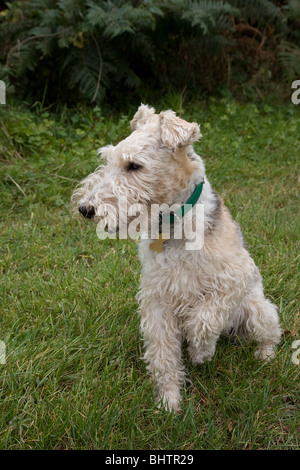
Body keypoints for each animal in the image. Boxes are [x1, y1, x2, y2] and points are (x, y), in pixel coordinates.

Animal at [72, 104, 282, 410]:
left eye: (134, 165)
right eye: (108, 159)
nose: (85, 208)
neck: (172, 224)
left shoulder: (238, 275)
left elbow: (205, 318)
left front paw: (200, 353)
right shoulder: (157, 299)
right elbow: (163, 355)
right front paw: (168, 401)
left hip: (255, 308)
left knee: (271, 332)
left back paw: (264, 356)